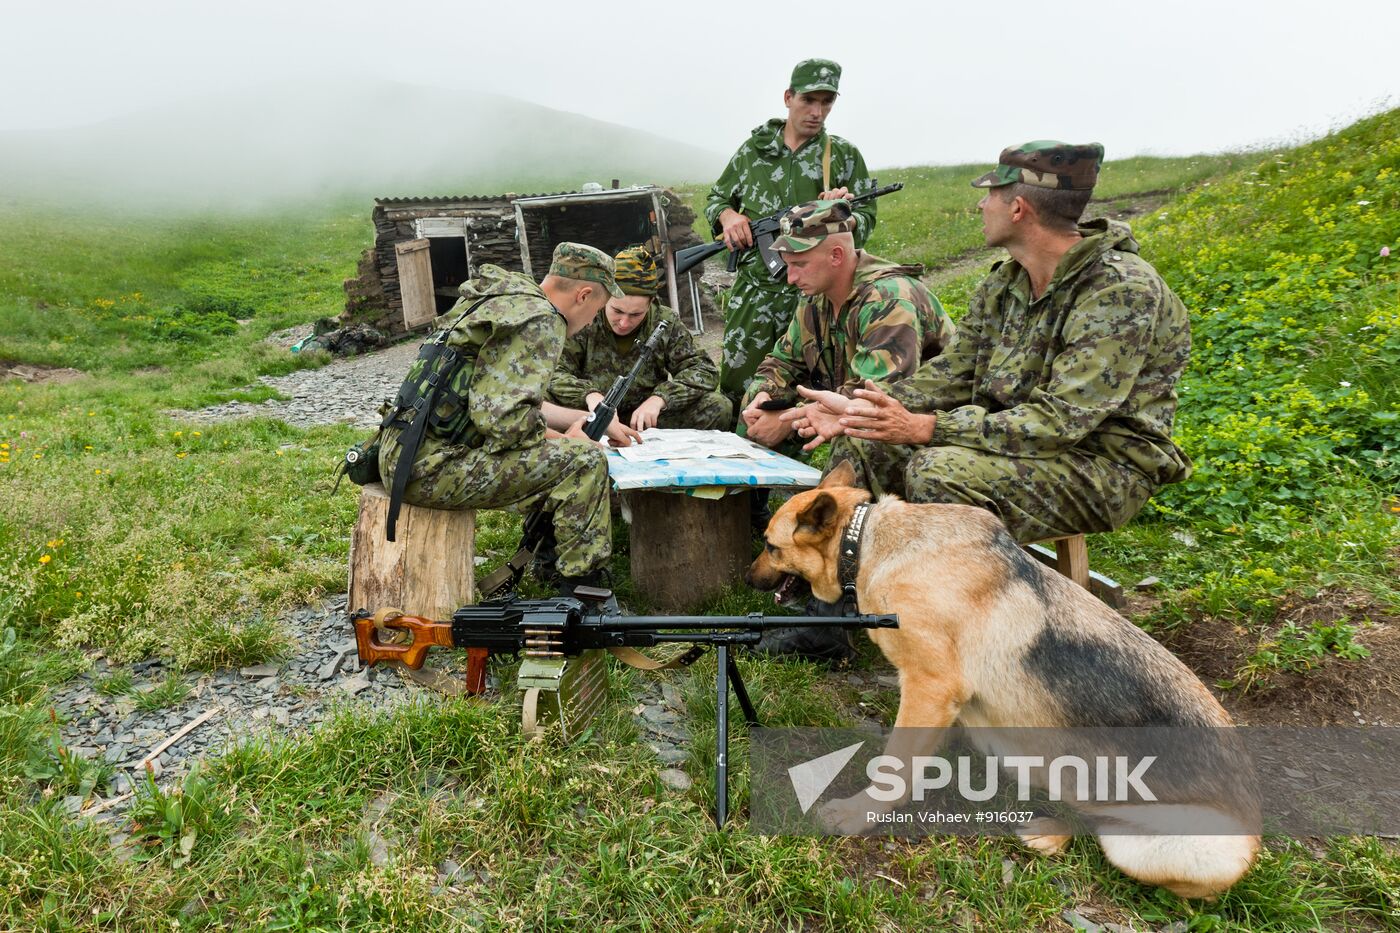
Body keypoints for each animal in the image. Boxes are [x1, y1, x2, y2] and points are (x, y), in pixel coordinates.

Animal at [750, 462, 1265, 896]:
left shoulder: (931, 687)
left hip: (1149, 846)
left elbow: (897, 767)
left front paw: (859, 814)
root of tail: (1256, 831)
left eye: (771, 545)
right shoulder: (941, 701)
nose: (749, 577)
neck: (869, 544)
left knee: (1108, 834)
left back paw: (1051, 834)